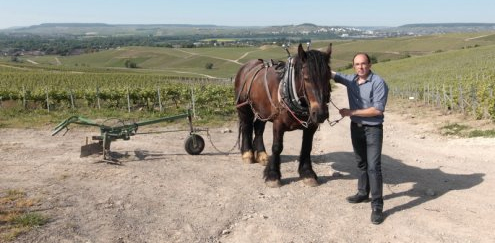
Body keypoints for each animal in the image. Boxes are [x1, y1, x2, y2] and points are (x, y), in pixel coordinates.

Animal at [233, 43, 334, 188]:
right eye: (306, 78)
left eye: (328, 76)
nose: (320, 113)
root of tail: (247, 67)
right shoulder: (278, 123)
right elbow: (277, 147)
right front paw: (273, 175)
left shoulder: (311, 127)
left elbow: (307, 147)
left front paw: (307, 173)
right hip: (244, 108)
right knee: (247, 126)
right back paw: (247, 154)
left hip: (262, 110)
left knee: (258, 128)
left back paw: (261, 155)